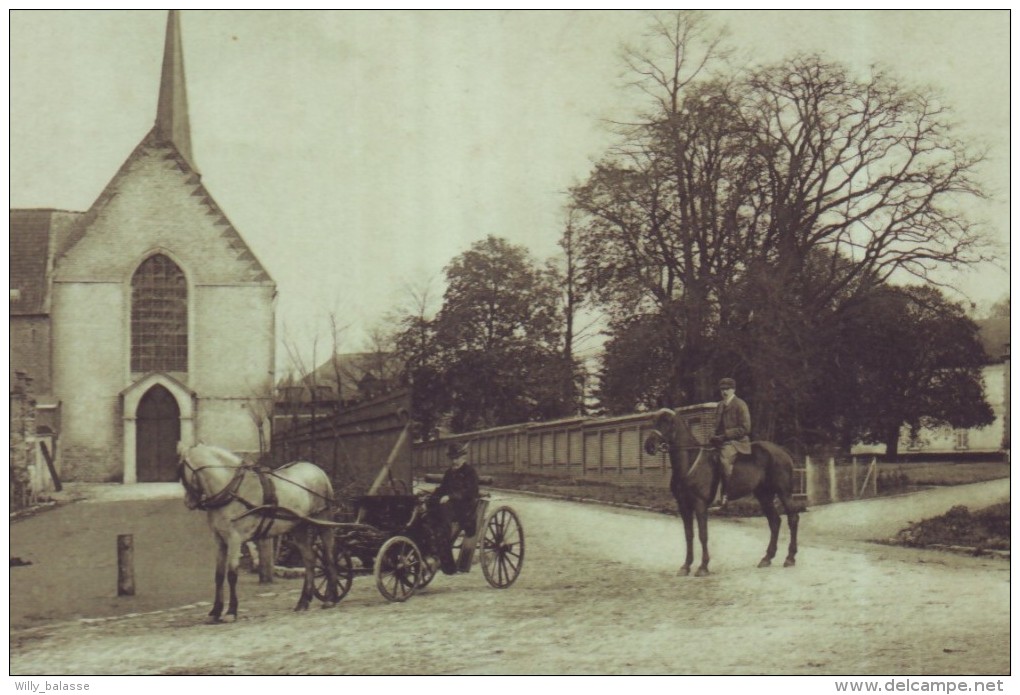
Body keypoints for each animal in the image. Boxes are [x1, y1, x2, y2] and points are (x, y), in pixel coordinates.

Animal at [180, 440, 342, 620]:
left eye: (181, 472)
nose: (188, 503)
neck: (233, 490)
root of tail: (317, 470)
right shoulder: (220, 540)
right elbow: (219, 575)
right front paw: (215, 611)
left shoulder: (235, 539)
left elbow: (232, 574)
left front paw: (231, 611)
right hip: (298, 527)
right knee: (309, 560)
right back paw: (303, 602)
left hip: (323, 521)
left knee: (329, 557)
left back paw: (330, 598)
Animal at [644, 406, 795, 575]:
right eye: (654, 421)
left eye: (666, 422)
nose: (649, 446)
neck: (689, 462)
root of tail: (782, 451)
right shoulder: (683, 505)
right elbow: (689, 535)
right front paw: (686, 566)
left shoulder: (700, 504)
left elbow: (703, 535)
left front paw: (703, 567)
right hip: (764, 496)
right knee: (775, 522)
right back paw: (767, 558)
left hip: (784, 492)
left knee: (792, 518)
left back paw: (790, 558)